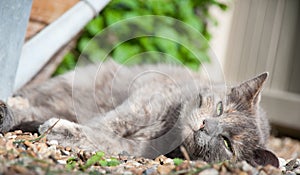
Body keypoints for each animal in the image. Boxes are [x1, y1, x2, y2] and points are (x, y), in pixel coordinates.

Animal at [0, 59, 278, 167]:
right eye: (220, 108)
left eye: (227, 144)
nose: (205, 126)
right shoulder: (147, 97)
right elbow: (113, 121)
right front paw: (65, 128)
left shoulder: (142, 149)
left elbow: (109, 141)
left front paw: (64, 131)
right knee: (29, 99)